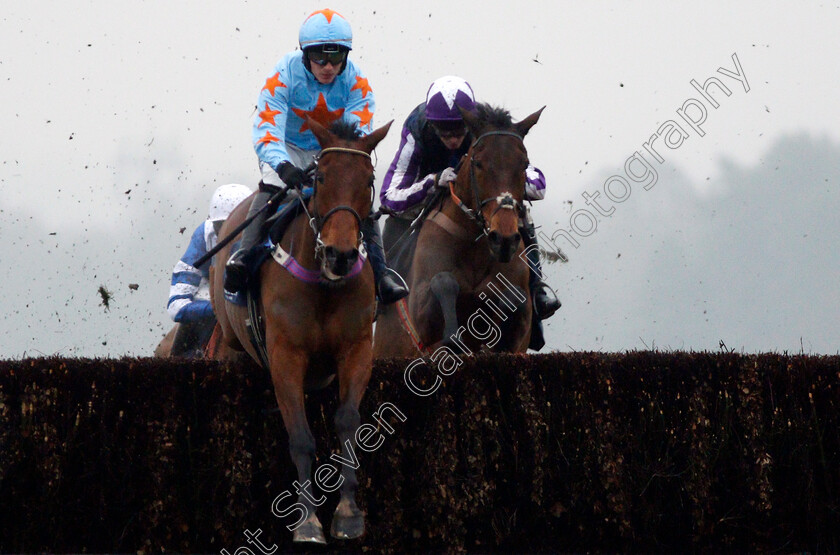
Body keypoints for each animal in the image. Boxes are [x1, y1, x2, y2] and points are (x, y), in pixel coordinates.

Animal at [210, 116, 394, 544]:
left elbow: (347, 421)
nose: (341, 255)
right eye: (321, 177)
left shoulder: (356, 349)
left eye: (368, 179)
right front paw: (308, 521)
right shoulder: (286, 356)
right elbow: (301, 436)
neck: (324, 284)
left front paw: (347, 514)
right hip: (230, 339)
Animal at [374, 103, 544, 358]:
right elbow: (443, 282)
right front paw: (453, 339)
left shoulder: (522, 323)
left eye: (523, 164)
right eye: (478, 162)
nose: (503, 239)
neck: (474, 246)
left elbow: (514, 297)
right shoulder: (420, 311)